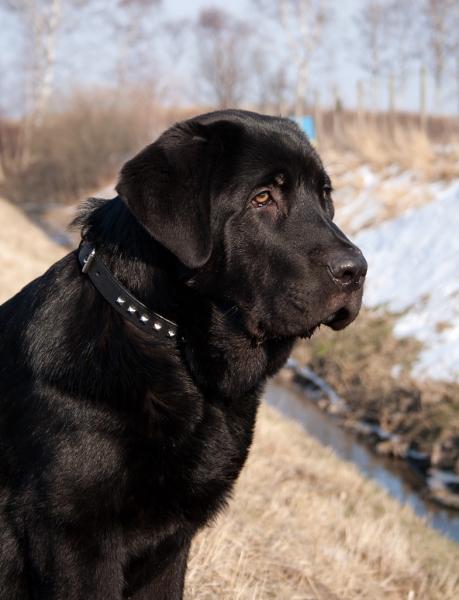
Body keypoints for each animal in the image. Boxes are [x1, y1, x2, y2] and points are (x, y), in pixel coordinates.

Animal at [0, 110, 366, 596]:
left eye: (326, 198)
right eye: (262, 198)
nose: (356, 270)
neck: (174, 348)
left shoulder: (173, 541)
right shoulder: (74, 536)